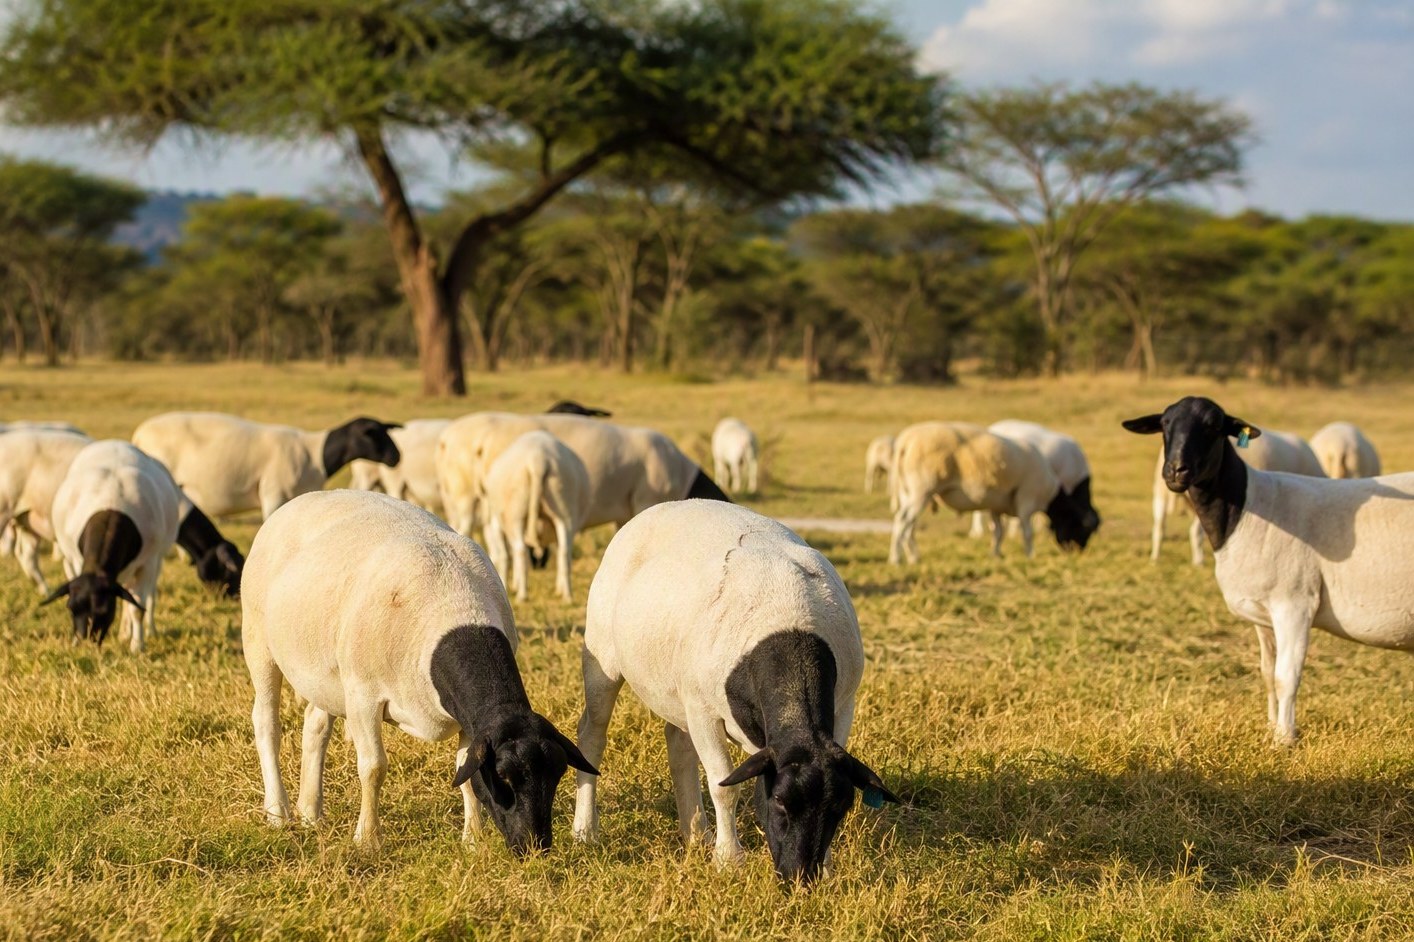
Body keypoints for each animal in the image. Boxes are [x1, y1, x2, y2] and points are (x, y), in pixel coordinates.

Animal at [44, 440, 182, 653]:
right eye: (71, 607)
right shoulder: (77, 561)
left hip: (156, 560)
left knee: (148, 595)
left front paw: (137, 646)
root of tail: (115, 442)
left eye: (105, 611)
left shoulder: (147, 563)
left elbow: (137, 608)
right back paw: (124, 632)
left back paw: (146, 631)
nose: (86, 641)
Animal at [241, 490, 595, 854]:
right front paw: (368, 839)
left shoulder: (467, 718)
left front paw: (472, 839)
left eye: (557, 775)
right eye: (504, 777)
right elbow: (374, 767)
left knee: (315, 724)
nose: (535, 847)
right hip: (258, 641)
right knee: (266, 723)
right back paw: (278, 812)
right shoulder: (363, 696)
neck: (453, 605)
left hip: (325, 673)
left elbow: (464, 772)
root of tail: (304, 498)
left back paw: (310, 812)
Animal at [481, 431, 590, 602]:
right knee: (564, 551)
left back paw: (522, 595)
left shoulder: (497, 523)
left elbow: (504, 556)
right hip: (565, 510)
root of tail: (538, 459)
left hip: (516, 512)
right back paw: (567, 595)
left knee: (520, 550)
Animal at [571, 500, 898, 884]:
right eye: (780, 802)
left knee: (678, 744)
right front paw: (729, 860)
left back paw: (696, 834)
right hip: (603, 655)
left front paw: (828, 867)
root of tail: (665, 505)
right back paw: (585, 830)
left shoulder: (843, 708)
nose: (801, 877)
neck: (789, 623)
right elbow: (723, 787)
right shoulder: (703, 711)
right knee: (592, 733)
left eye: (840, 807)